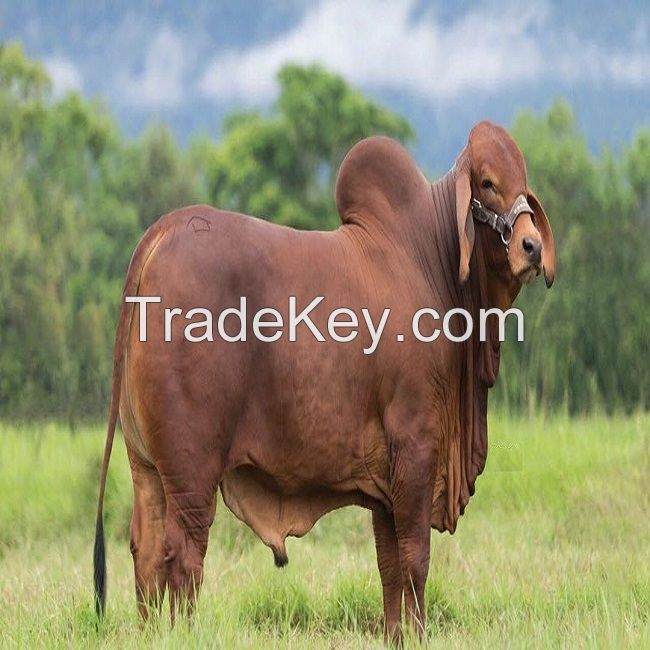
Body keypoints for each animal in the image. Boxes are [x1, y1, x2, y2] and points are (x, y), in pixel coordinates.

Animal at [93, 120, 556, 636]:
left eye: (523, 183)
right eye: (487, 183)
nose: (532, 247)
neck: (433, 263)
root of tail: (162, 231)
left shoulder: (385, 487)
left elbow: (389, 567)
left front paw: (396, 635)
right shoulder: (416, 448)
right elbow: (416, 559)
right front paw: (417, 635)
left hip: (146, 466)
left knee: (146, 549)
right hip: (191, 470)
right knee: (184, 553)